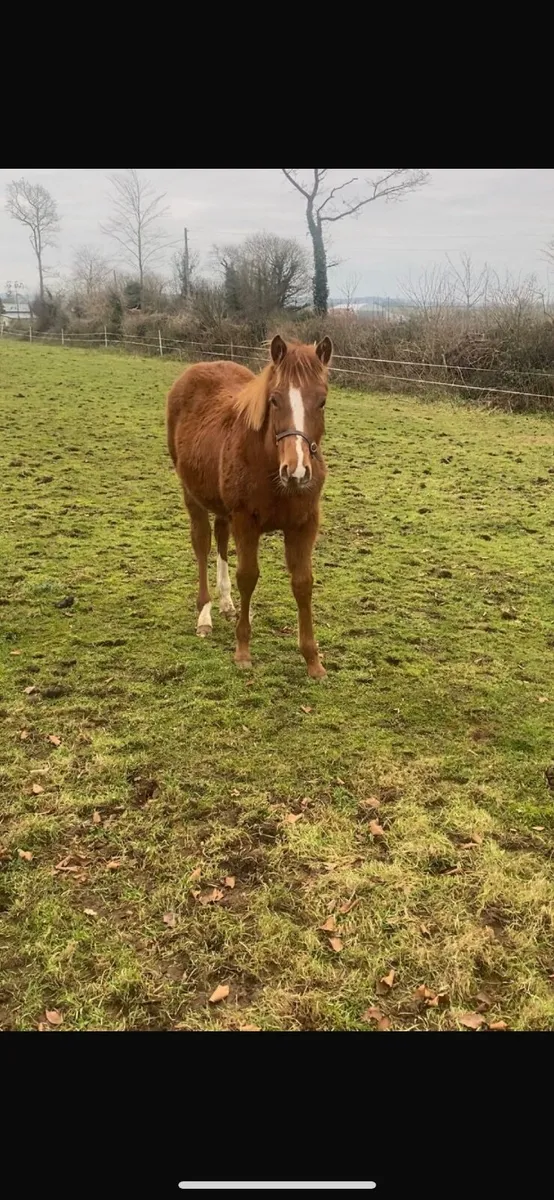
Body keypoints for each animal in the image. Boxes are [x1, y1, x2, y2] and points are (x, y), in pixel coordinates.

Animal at [166, 333, 333, 678]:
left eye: (322, 400)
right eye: (274, 400)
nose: (297, 471)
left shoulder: (304, 524)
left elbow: (303, 583)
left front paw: (313, 660)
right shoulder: (246, 520)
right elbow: (248, 576)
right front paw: (242, 651)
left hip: (222, 508)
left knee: (220, 539)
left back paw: (227, 604)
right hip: (193, 496)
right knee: (202, 544)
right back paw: (205, 616)